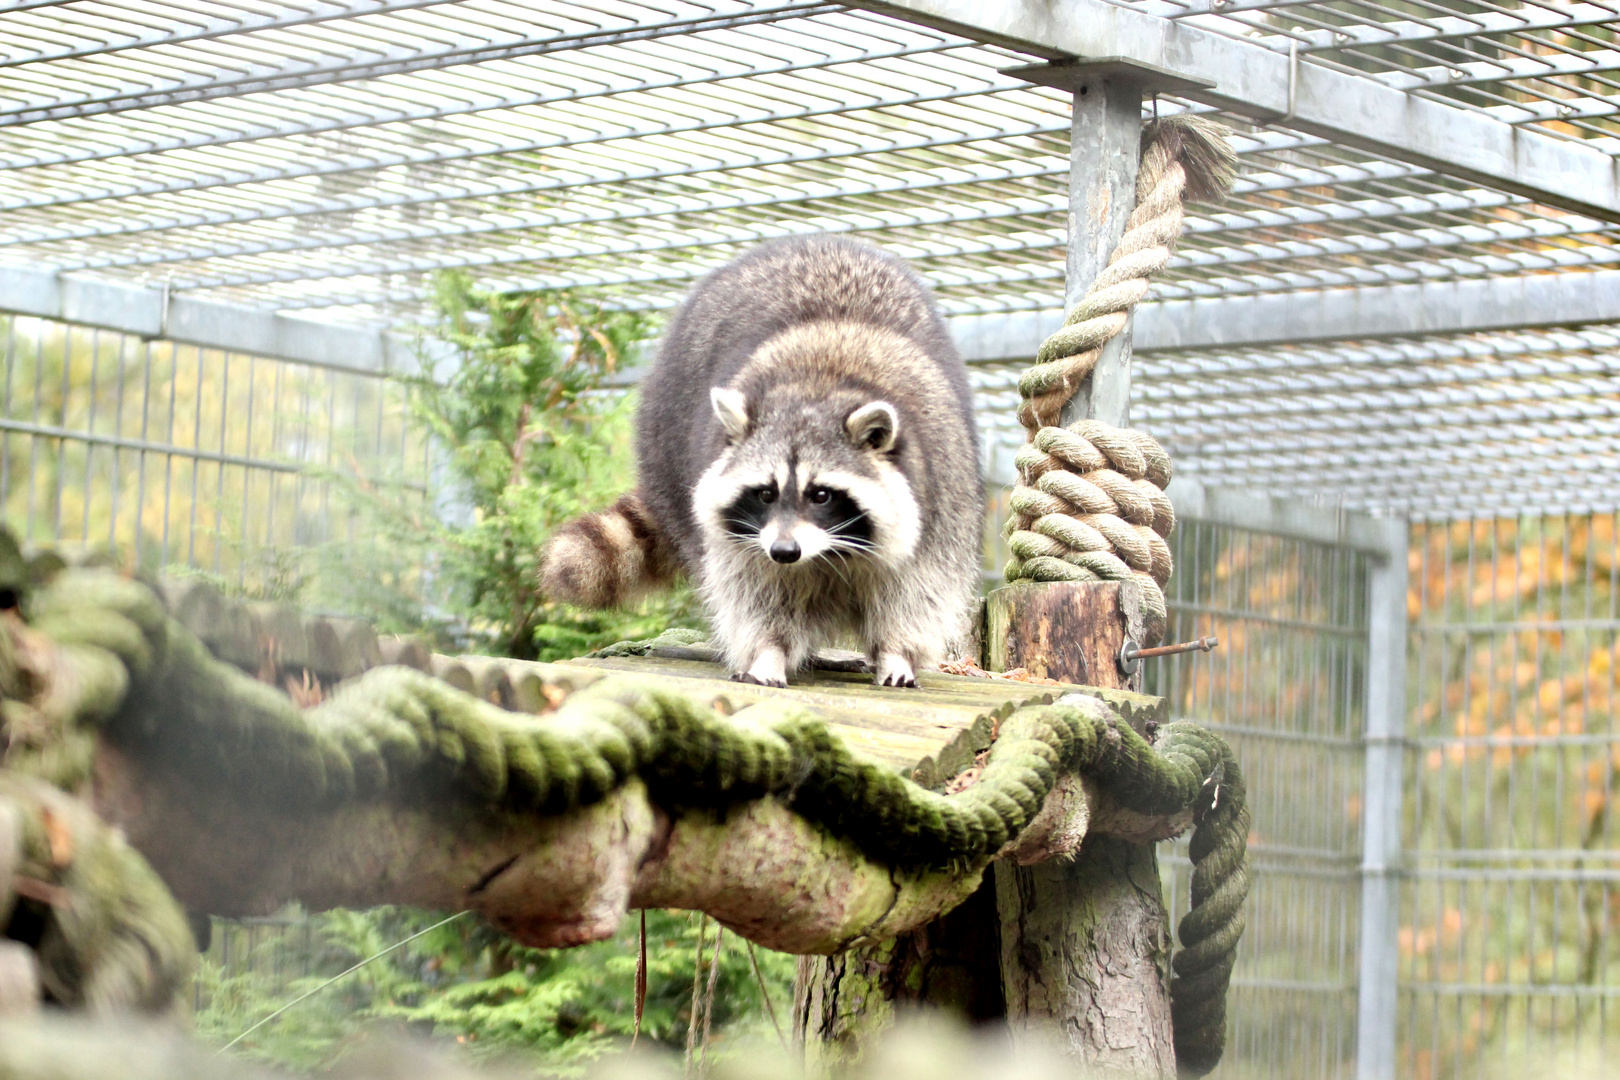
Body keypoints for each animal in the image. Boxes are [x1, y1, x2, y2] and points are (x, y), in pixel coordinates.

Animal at [537, 238, 978, 693]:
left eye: (821, 495)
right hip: (667, 445)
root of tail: (807, 242)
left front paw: (896, 651)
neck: (819, 385)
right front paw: (770, 650)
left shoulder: (942, 487)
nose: (784, 551)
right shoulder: (746, 539)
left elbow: (915, 589)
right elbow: (756, 589)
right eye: (765, 493)